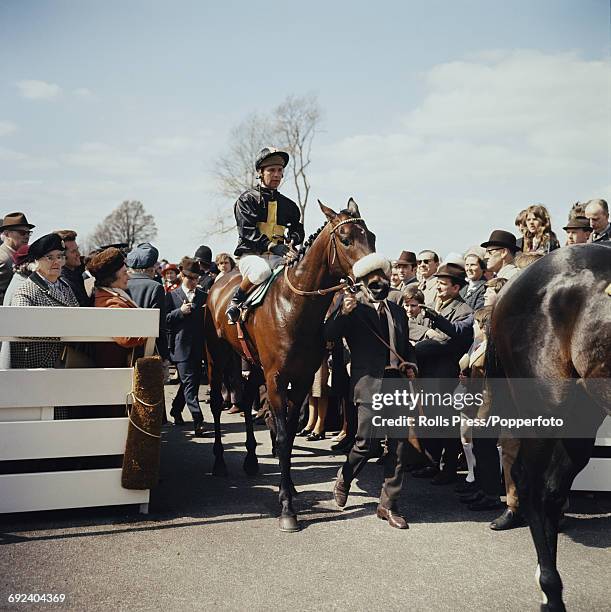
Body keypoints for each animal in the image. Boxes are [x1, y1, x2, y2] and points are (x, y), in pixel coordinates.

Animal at [206, 197, 376, 532]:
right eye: (346, 239)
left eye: (372, 237)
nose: (379, 281)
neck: (293, 307)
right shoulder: (276, 377)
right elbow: (284, 435)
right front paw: (287, 507)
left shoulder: (301, 377)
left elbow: (288, 430)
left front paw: (290, 489)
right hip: (217, 356)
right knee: (218, 403)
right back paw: (218, 460)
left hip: (252, 363)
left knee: (247, 398)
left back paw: (251, 460)